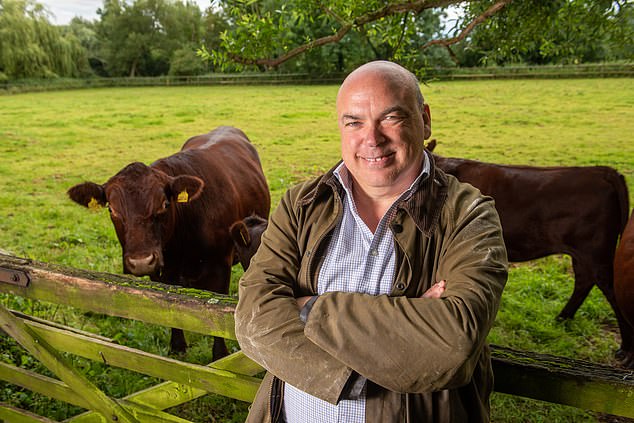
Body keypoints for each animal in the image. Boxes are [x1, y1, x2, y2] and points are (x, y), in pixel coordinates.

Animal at [68, 126, 270, 362]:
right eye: (112, 209)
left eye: (164, 204)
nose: (141, 261)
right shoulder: (161, 273)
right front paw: (177, 347)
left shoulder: (221, 265)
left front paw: (219, 354)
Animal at [424, 142, 628, 358]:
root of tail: (604, 171)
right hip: (583, 254)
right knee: (584, 281)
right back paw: (562, 318)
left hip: (596, 253)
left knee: (611, 289)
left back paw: (625, 350)